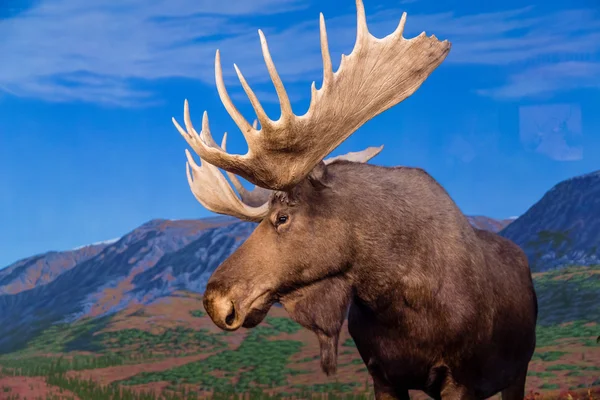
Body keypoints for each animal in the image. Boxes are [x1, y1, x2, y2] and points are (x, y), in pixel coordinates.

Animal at [170, 1, 540, 398]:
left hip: (517, 371)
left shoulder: (460, 379)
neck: (396, 298)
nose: (215, 301)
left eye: (283, 217)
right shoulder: (383, 376)